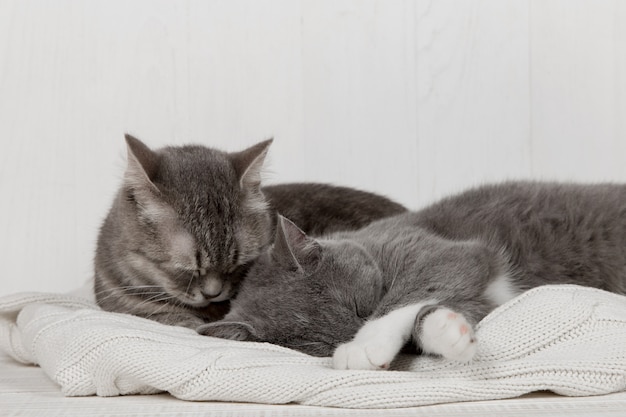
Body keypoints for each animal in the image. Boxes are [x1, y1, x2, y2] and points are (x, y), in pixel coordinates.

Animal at [197, 180, 624, 368]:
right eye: (319, 345)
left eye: (362, 307)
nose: (355, 332)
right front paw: (450, 332)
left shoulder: (446, 251)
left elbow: (410, 292)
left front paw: (364, 347)